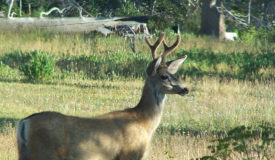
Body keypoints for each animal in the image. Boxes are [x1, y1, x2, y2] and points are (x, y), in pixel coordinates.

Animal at [17, 28, 189, 160]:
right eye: (164, 76)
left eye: (174, 73)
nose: (185, 89)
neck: (144, 122)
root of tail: (24, 122)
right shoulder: (129, 153)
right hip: (44, 153)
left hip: (25, 153)